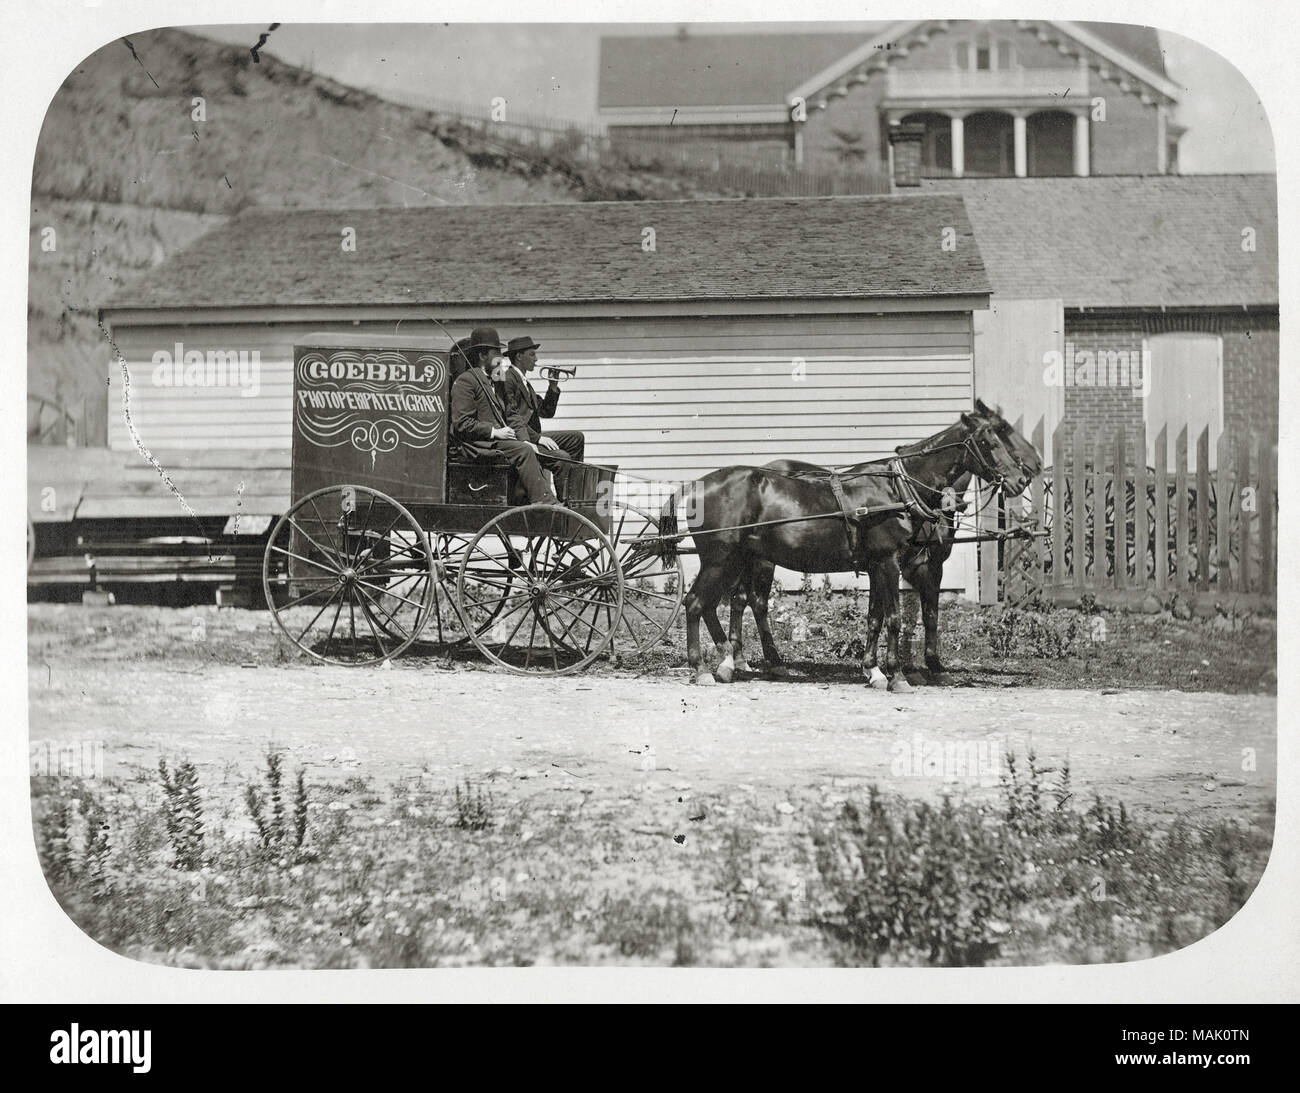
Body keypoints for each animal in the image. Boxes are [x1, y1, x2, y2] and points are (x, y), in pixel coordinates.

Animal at [660, 400, 1034, 691]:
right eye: (989, 439)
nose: (1022, 478)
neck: (896, 489)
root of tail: (697, 484)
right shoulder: (890, 563)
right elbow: (896, 618)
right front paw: (898, 676)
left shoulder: (877, 565)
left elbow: (875, 618)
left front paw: (874, 671)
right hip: (720, 559)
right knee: (696, 604)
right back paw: (703, 669)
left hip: (735, 560)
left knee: (717, 605)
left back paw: (729, 661)